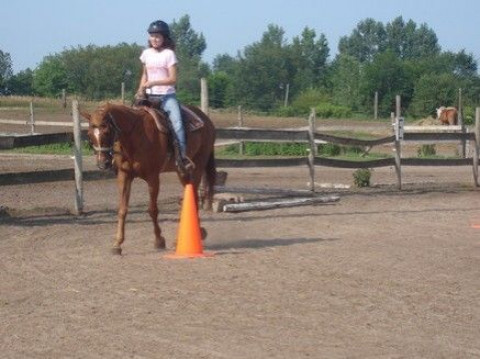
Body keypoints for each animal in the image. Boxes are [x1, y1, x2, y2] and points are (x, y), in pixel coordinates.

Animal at [80, 102, 216, 256]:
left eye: (107, 131)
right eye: (89, 134)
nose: (103, 163)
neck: (135, 136)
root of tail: (206, 119)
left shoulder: (153, 177)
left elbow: (152, 209)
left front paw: (159, 240)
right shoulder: (124, 176)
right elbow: (122, 210)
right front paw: (117, 244)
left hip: (198, 166)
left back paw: (186, 238)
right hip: (182, 172)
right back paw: (197, 233)